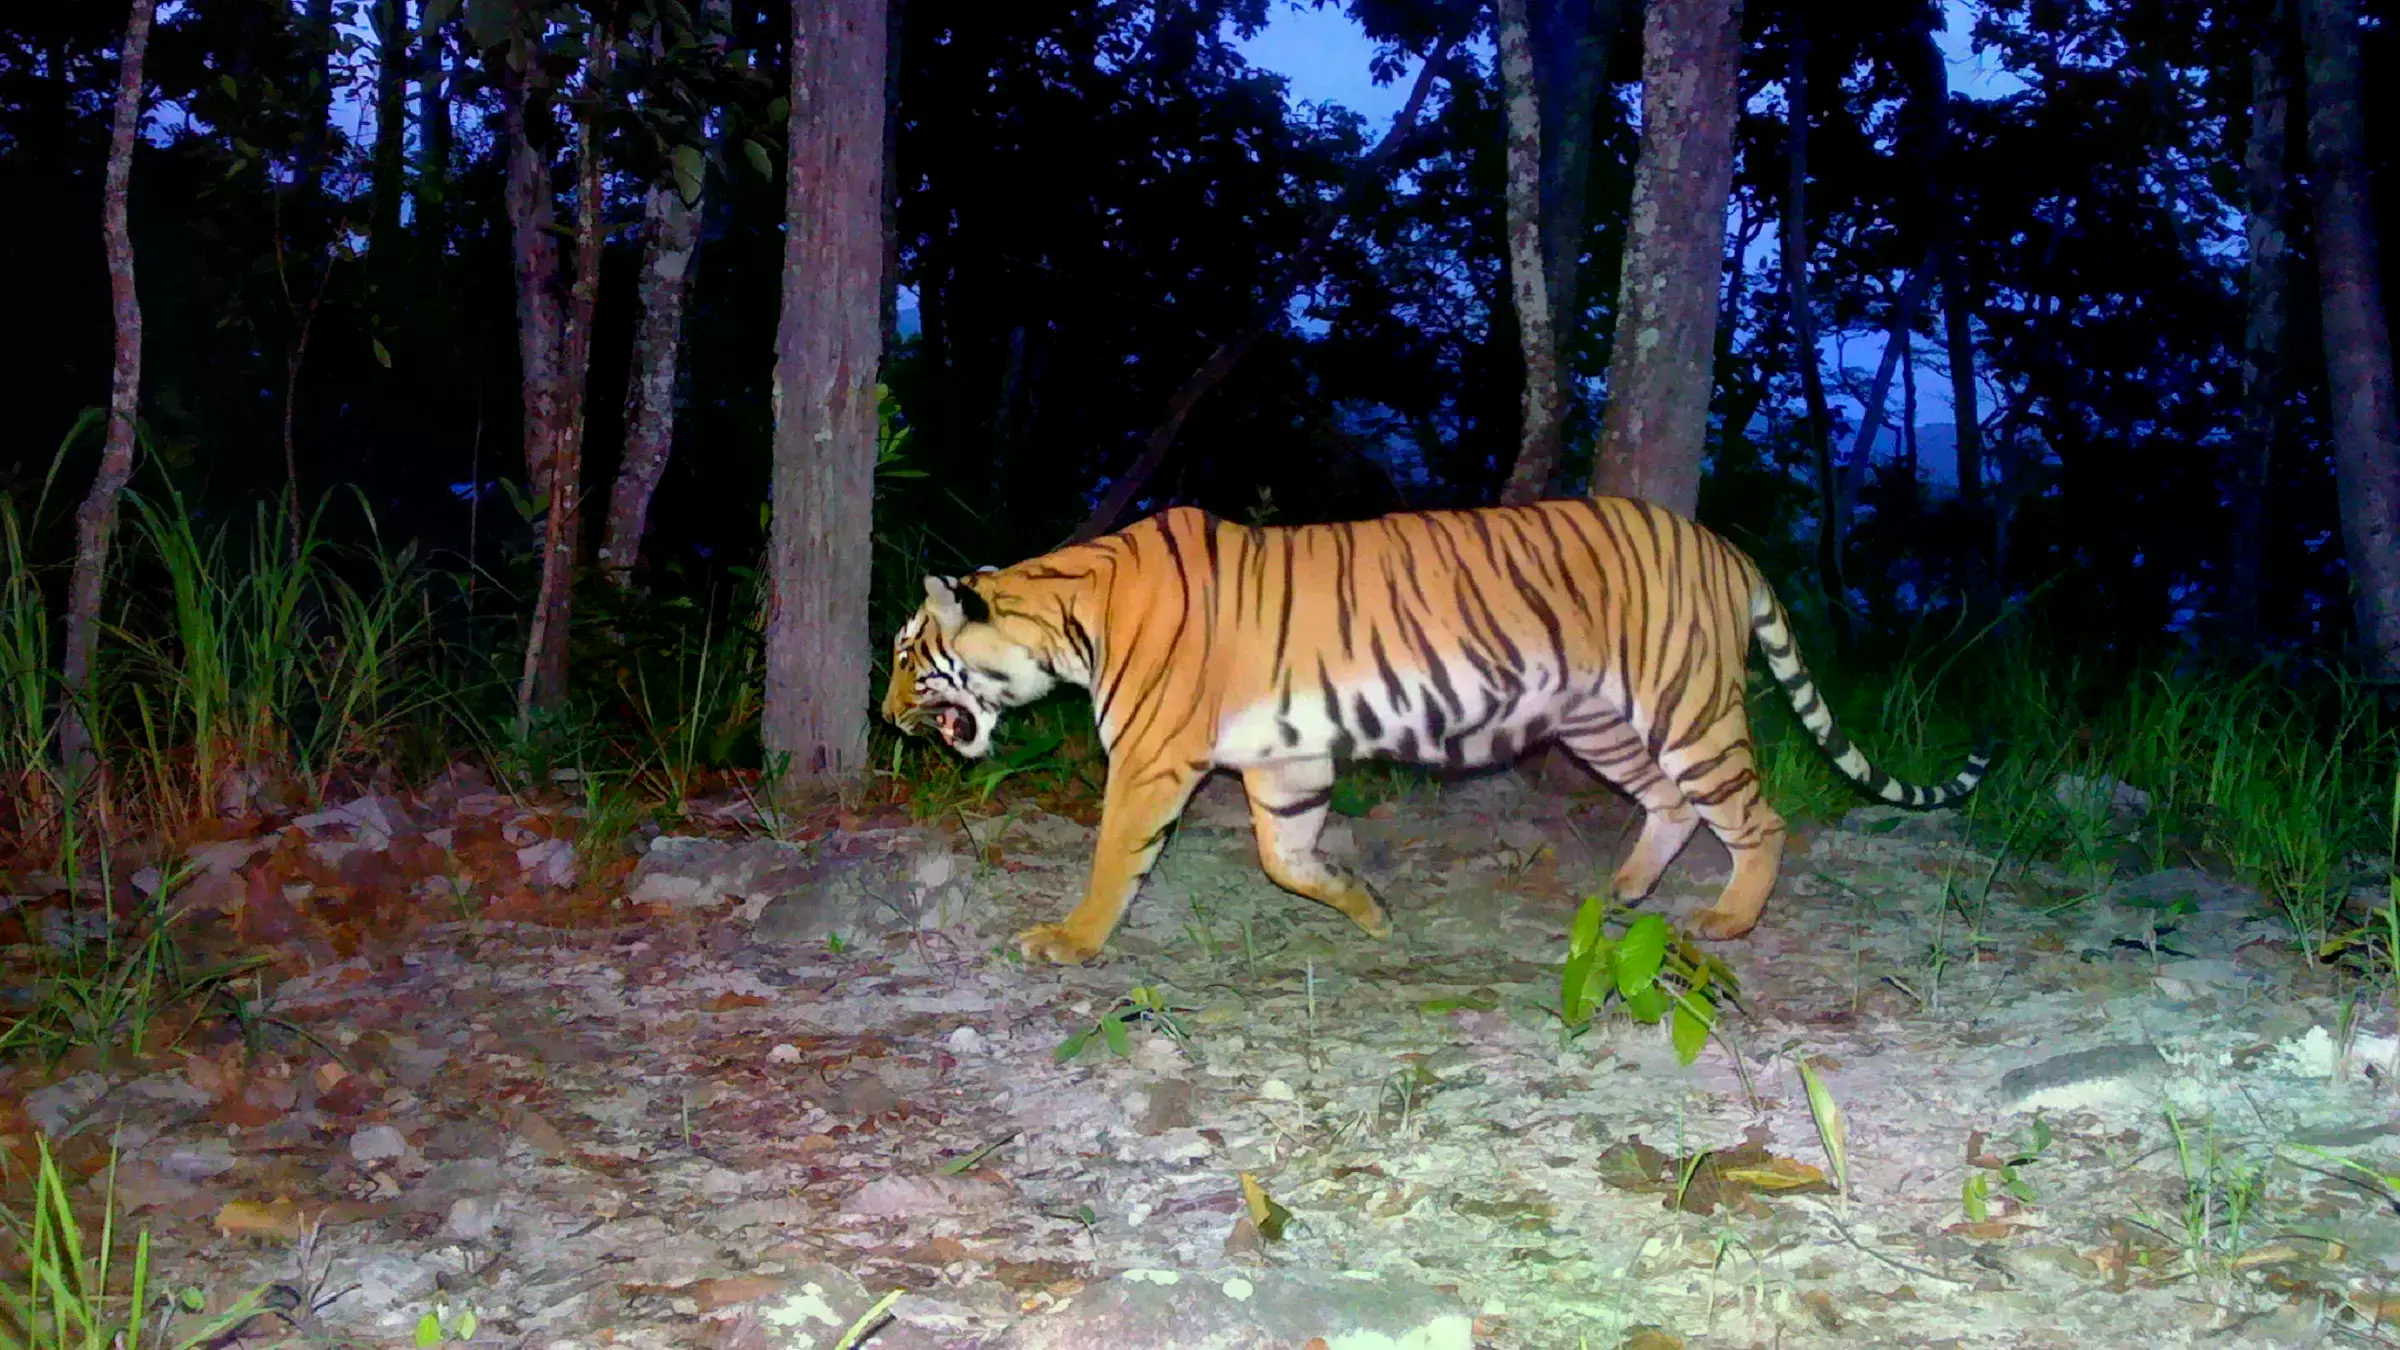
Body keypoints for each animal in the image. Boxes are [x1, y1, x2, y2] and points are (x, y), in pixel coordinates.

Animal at [882, 497, 1989, 966]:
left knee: (1757, 820)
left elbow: (1117, 857)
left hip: (1688, 708)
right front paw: (1366, 910)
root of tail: (1721, 543)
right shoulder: (1288, 759)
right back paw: (1625, 891)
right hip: (1600, 723)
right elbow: (1287, 858)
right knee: (1673, 805)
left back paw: (1728, 920)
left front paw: (1069, 942)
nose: (884, 716)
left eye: (904, 653)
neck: (1067, 615)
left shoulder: (1152, 761)